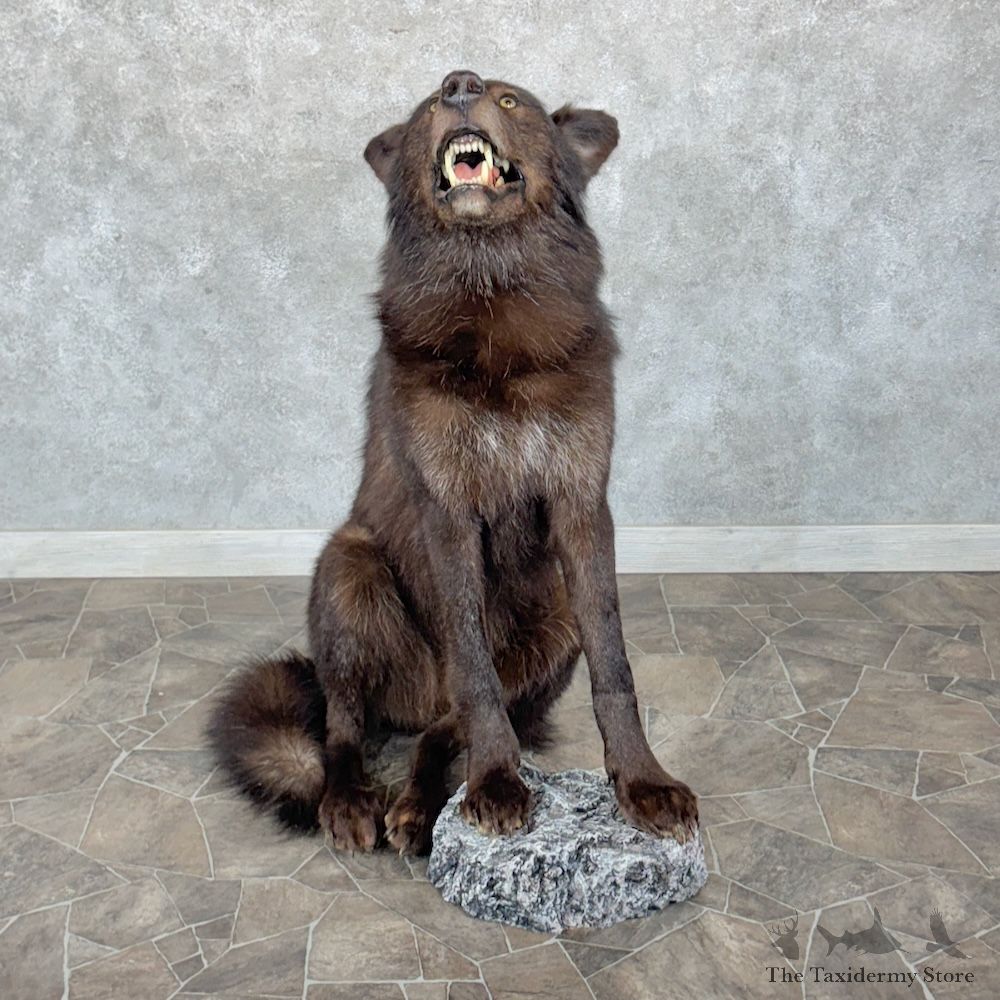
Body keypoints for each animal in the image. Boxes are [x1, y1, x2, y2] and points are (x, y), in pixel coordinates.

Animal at [210, 70, 698, 855]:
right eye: (425, 107)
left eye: (510, 101)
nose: (459, 83)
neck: (493, 291)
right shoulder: (449, 514)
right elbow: (471, 668)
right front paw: (497, 782)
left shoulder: (582, 509)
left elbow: (614, 664)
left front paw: (641, 782)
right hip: (348, 566)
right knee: (348, 725)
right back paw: (353, 801)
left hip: (551, 618)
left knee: (440, 732)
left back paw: (417, 806)